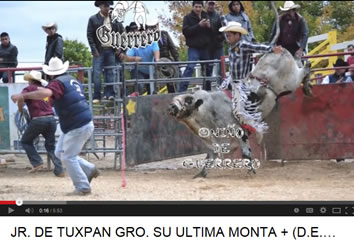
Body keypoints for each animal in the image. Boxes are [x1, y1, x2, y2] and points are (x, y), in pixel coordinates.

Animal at [167, 1, 312, 179]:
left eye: (187, 100)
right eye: (174, 99)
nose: (171, 107)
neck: (206, 112)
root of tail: (276, 49)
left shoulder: (239, 131)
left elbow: (246, 153)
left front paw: (251, 171)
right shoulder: (214, 142)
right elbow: (210, 157)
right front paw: (201, 174)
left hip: (291, 80)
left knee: (305, 68)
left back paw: (308, 87)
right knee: (300, 61)